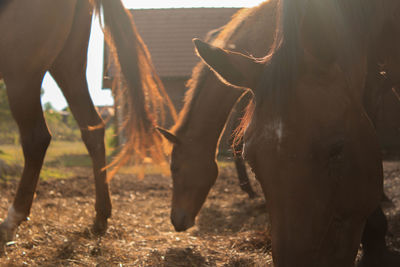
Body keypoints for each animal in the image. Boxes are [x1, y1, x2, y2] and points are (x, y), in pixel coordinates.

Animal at [0, 0, 175, 249]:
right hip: (68, 67)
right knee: (93, 129)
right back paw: (101, 215)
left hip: (22, 74)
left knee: (36, 139)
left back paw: (13, 218)